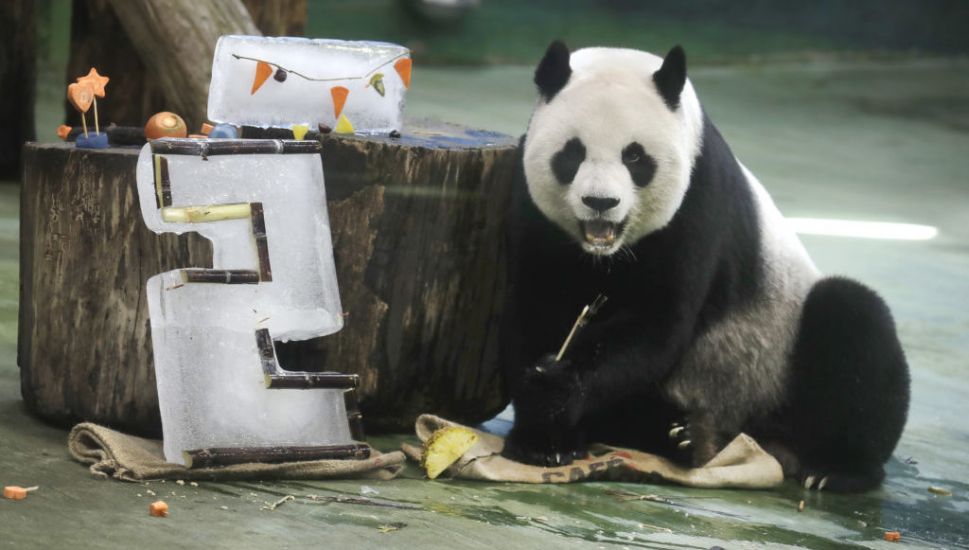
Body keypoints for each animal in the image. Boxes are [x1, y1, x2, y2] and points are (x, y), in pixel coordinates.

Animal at [502, 41, 912, 494]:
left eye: (635, 157)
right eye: (572, 153)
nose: (600, 202)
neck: (603, 254)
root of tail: (765, 439)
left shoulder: (696, 201)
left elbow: (655, 321)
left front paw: (553, 396)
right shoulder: (533, 211)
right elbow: (539, 306)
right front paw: (544, 438)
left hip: (775, 361)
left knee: (854, 319)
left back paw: (833, 468)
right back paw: (679, 435)